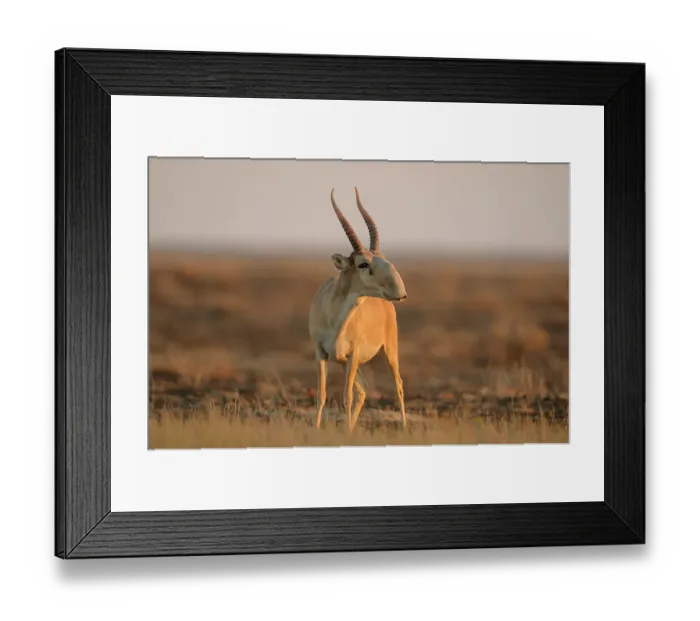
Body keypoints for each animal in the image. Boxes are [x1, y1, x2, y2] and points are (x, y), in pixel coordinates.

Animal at [308, 187, 408, 433]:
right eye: (363, 264)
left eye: (382, 258)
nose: (400, 292)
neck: (334, 315)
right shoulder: (321, 353)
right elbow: (322, 395)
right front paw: (316, 430)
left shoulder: (352, 355)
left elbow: (347, 396)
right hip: (343, 362)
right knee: (363, 389)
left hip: (389, 351)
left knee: (398, 385)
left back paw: (403, 427)